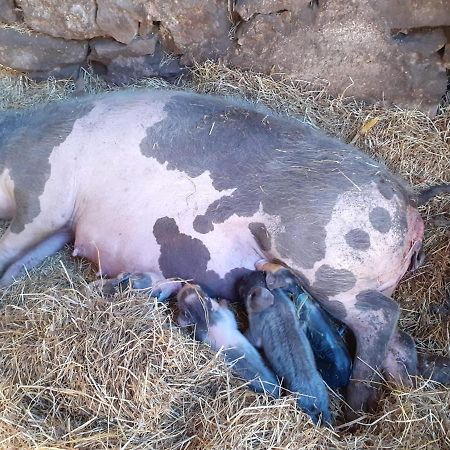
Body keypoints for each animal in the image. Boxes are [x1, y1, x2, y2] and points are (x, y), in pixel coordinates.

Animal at [241, 274, 332, 426]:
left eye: (247, 291)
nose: (240, 279)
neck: (276, 302)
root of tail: (318, 403)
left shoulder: (257, 326)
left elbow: (252, 338)